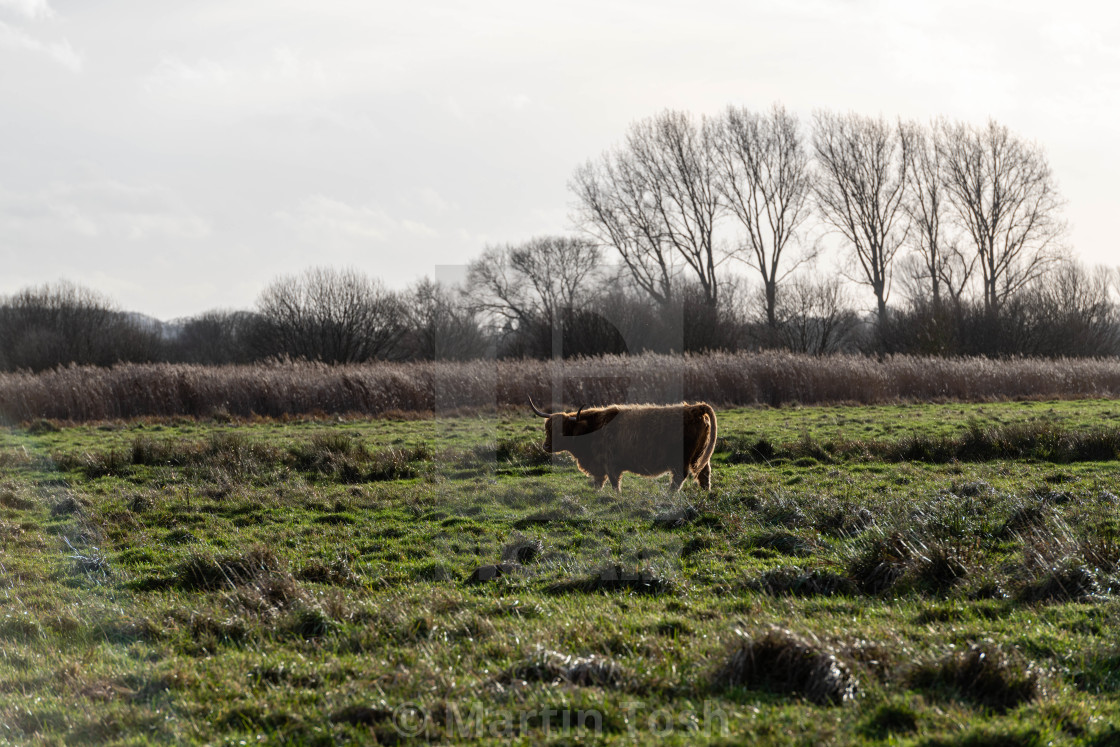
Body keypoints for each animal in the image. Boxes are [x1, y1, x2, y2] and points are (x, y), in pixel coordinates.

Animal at [530, 396, 721, 490]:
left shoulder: (610, 464)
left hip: (682, 459)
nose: (546, 446)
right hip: (701, 456)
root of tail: (694, 408)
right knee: (704, 475)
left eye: (562, 430)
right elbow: (598, 483)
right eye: (547, 429)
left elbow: (614, 483)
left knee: (679, 479)